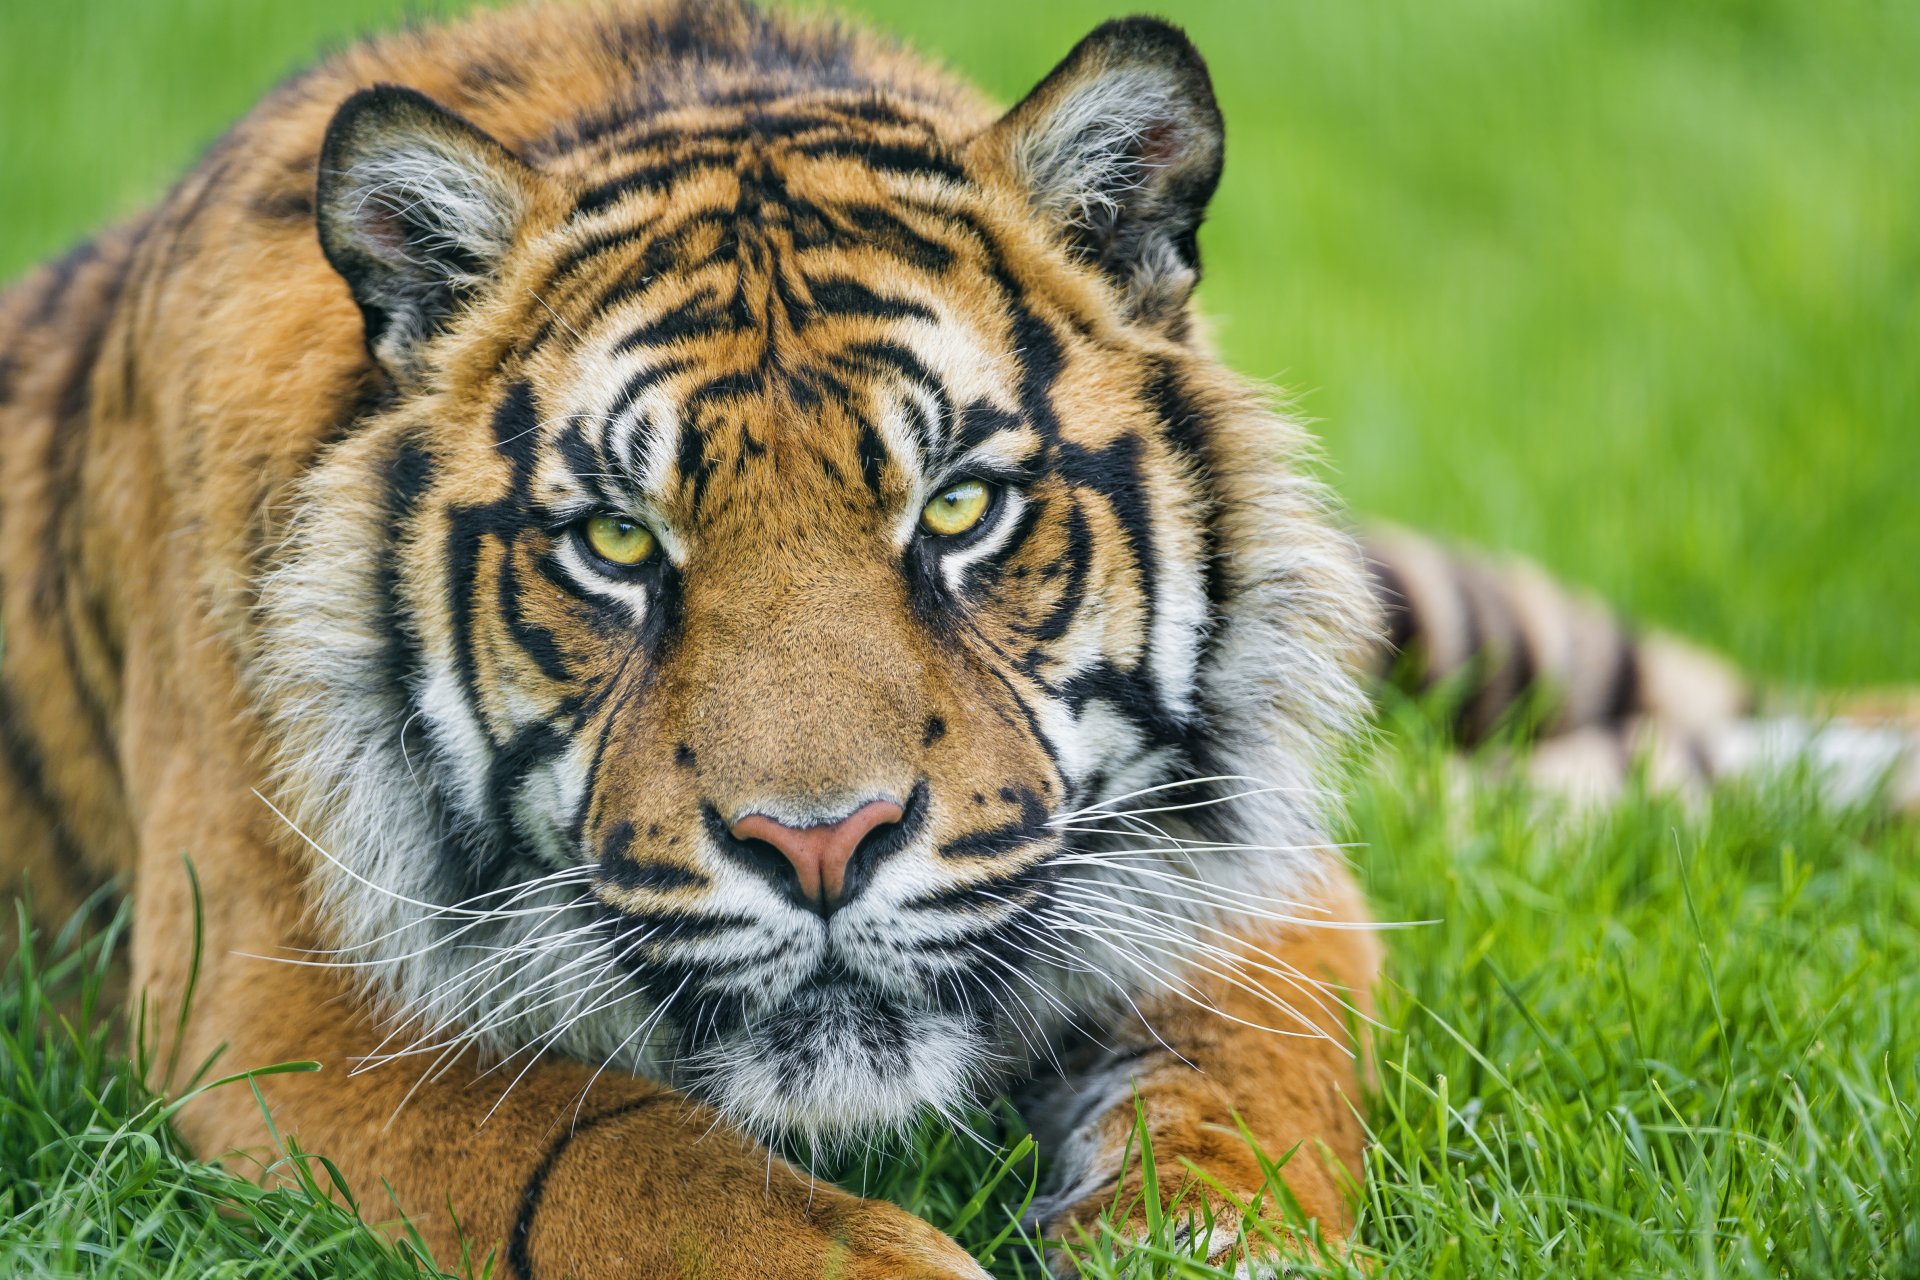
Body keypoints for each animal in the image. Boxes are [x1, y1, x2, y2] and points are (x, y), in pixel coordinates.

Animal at [0, 2, 1911, 1277]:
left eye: (962, 508)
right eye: (618, 544)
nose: (819, 846)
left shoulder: (1258, 888)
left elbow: (1239, 1112)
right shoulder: (283, 1009)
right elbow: (626, 1158)